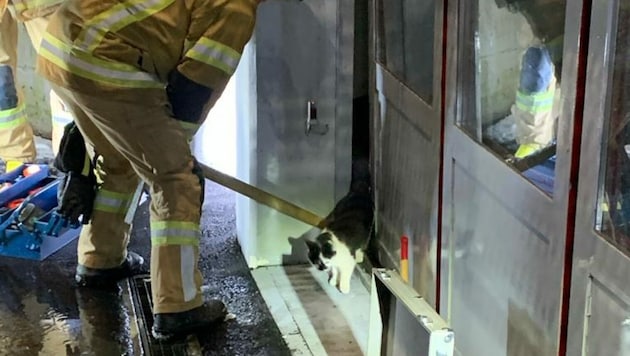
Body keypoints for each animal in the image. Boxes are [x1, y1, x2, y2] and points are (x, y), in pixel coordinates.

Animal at [306, 161, 376, 294]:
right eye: (316, 261)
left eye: (324, 262)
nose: (322, 268)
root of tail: (358, 192)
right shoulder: (335, 263)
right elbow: (334, 271)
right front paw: (333, 281)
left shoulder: (348, 261)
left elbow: (345, 274)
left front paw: (343, 287)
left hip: (368, 230)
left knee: (363, 244)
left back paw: (359, 257)